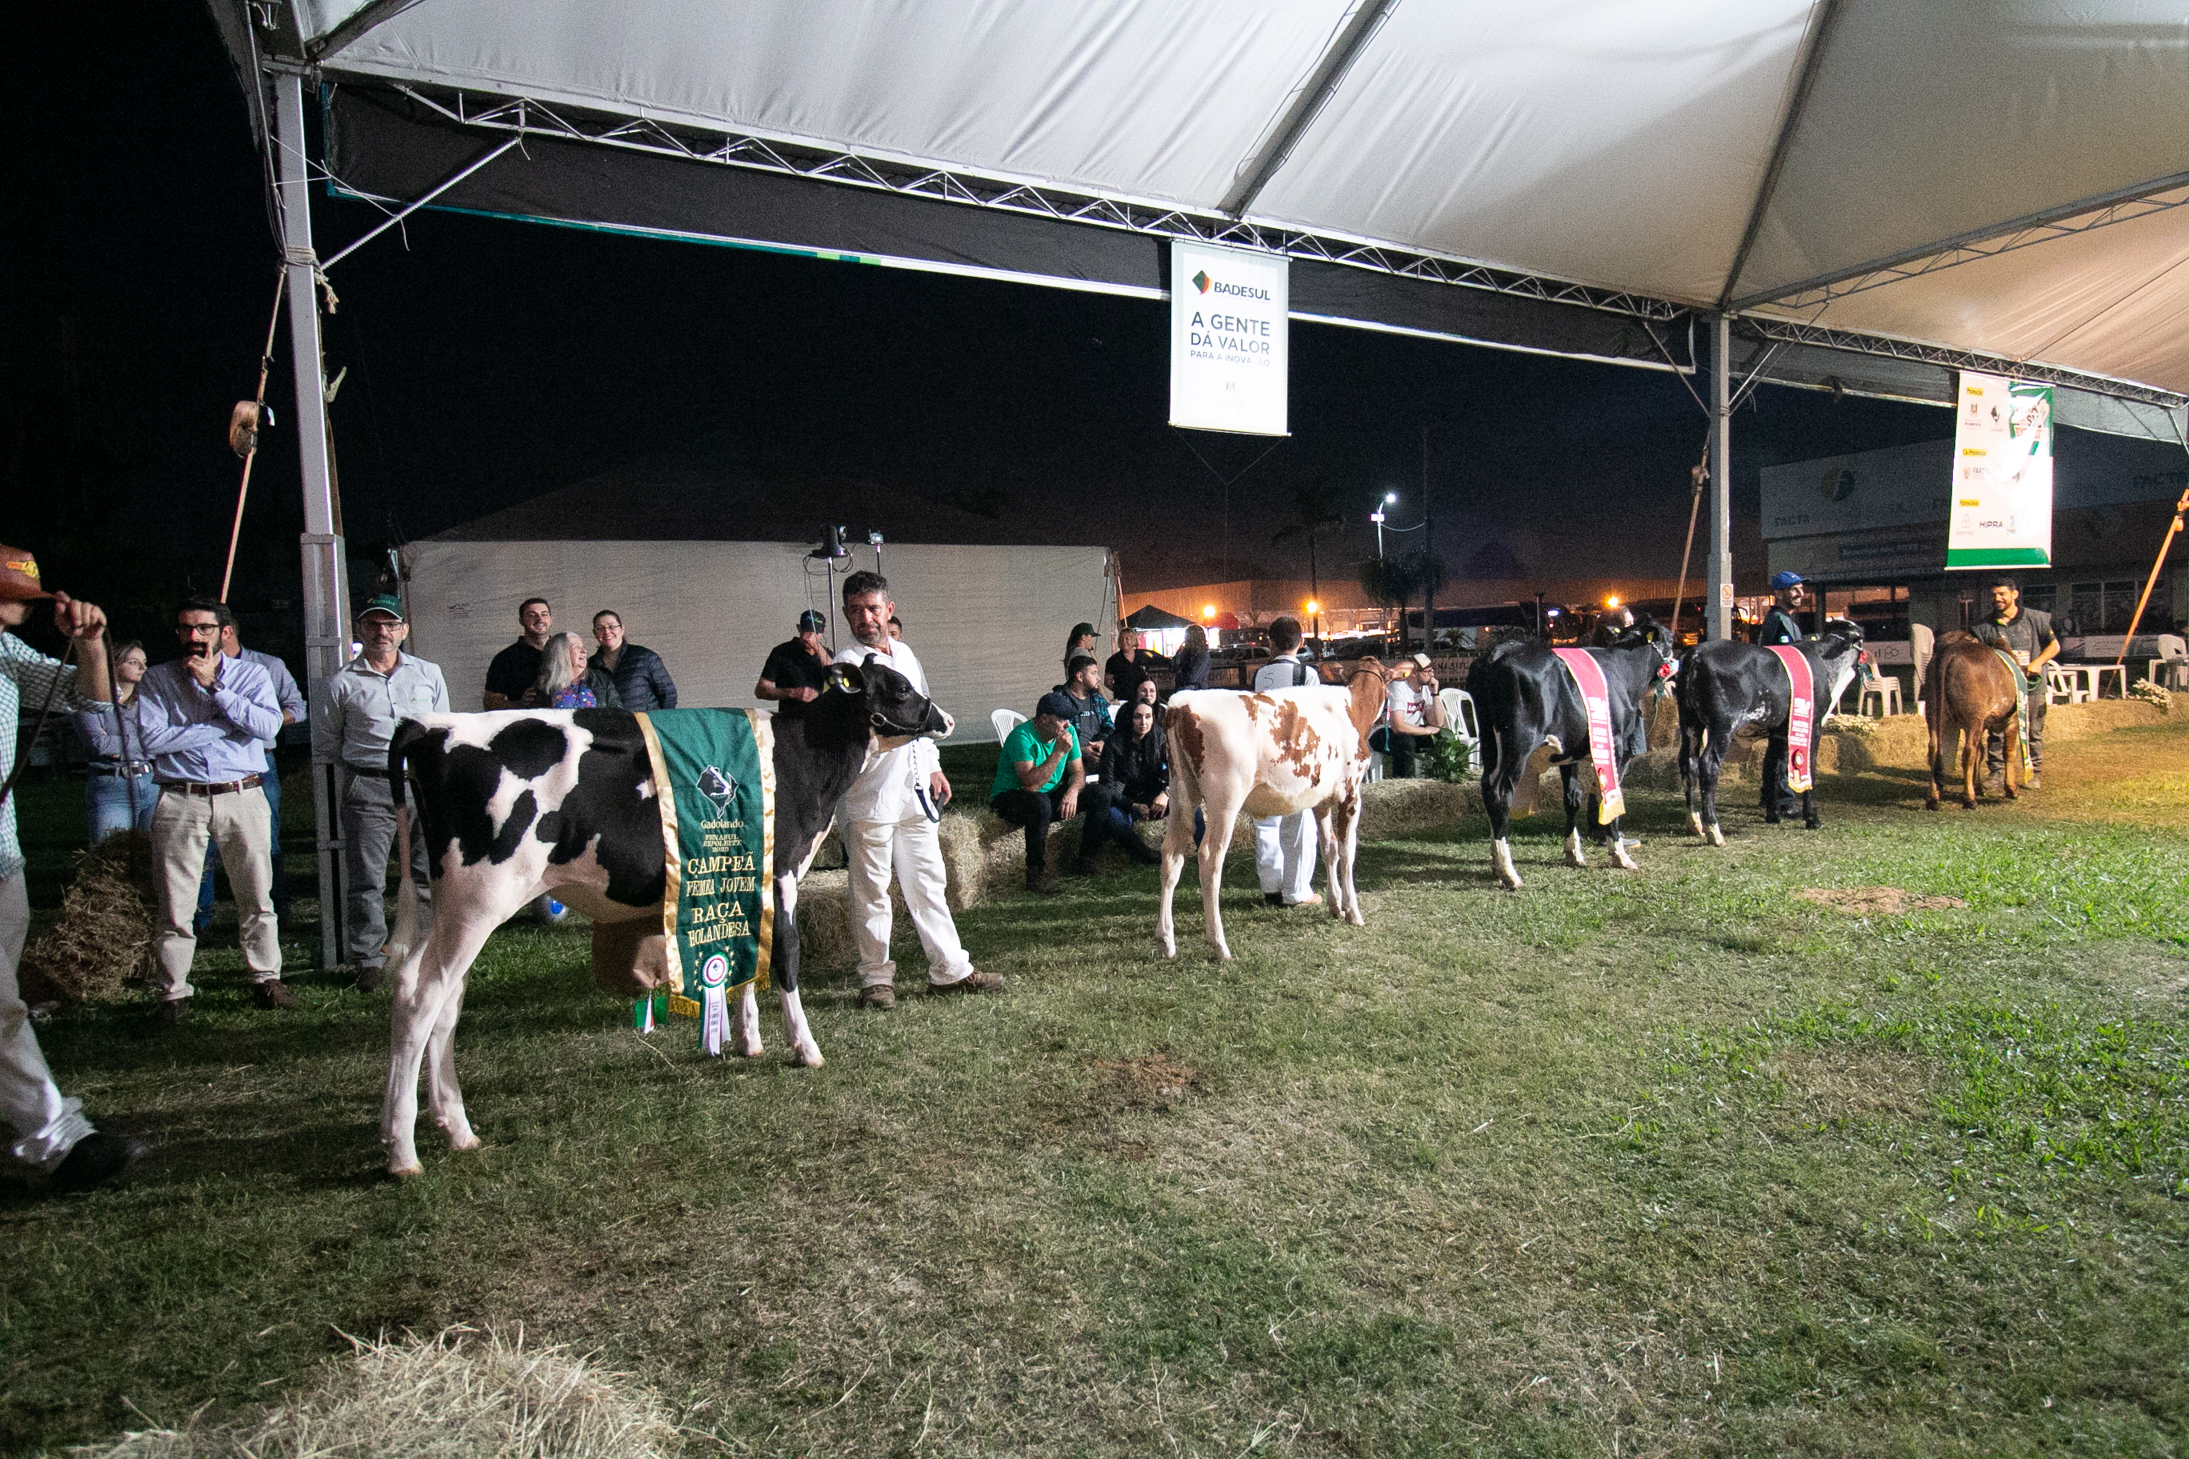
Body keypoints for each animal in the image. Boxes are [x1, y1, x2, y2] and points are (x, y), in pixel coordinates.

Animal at [375, 657, 951, 1178]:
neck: (804, 756)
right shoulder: (782, 869)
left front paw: (749, 1041)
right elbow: (784, 958)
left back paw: (456, 1129)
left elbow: (749, 958)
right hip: (479, 898)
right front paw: (805, 1048)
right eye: (900, 687)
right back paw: (403, 1152)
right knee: (420, 996)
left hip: (450, 905)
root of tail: (427, 726)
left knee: (440, 999)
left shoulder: (748, 876)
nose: (941, 718)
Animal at [1156, 661, 1390, 961]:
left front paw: (1335, 906)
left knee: (1171, 855)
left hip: (1181, 793)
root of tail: (1181, 703)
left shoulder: (1322, 800)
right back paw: (1219, 945)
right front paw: (1353, 912)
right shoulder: (1350, 793)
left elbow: (1329, 849)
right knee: (1209, 859)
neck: (1352, 707)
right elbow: (1348, 852)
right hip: (1225, 799)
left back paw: (1166, 940)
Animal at [1466, 621, 1676, 890]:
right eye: (1670, 640)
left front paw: (1573, 853)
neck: (1623, 672)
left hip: (1490, 743)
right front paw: (1619, 854)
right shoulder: (1616, 749)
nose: (1676, 665)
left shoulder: (1568, 753)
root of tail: (1497, 653)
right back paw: (1509, 872)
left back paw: (1496, 863)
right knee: (1500, 793)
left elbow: (1572, 798)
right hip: (1519, 742)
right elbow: (1609, 797)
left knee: (1486, 788)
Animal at [1674, 619, 1866, 843]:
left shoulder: (1778, 732)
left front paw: (1774, 815)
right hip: (1722, 725)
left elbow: (1772, 768)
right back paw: (1714, 829)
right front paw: (1812, 818)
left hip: (1690, 723)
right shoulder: (1813, 726)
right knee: (1708, 764)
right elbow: (1809, 769)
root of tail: (1696, 652)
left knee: (1688, 763)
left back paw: (1694, 822)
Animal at [1923, 630, 2024, 810]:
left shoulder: (1982, 723)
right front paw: (2012, 790)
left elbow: (1980, 751)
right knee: (1968, 752)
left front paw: (1978, 786)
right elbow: (2009, 752)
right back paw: (1969, 799)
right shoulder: (2012, 720)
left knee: (1934, 748)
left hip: (1933, 711)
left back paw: (1933, 798)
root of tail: (1951, 651)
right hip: (1973, 717)